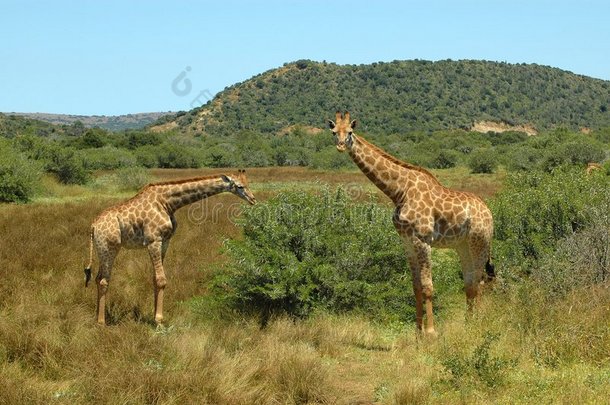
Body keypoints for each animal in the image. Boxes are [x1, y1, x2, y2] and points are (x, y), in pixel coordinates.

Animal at [83, 170, 254, 326]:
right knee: (104, 280)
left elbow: (155, 278)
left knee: (98, 278)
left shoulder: (165, 241)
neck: (168, 203)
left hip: (101, 249)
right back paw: (101, 322)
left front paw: (154, 316)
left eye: (248, 183)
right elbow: (161, 280)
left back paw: (97, 316)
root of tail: (93, 226)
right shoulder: (153, 241)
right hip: (109, 247)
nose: (253, 199)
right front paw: (159, 321)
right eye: (239, 186)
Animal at [326, 111, 492, 334]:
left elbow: (428, 286)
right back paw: (468, 325)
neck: (399, 192)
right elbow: (416, 287)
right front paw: (417, 332)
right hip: (462, 246)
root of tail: (489, 212)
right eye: (334, 131)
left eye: (350, 131)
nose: (341, 145)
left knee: (480, 281)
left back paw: (478, 326)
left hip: (480, 242)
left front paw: (431, 332)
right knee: (470, 283)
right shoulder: (406, 241)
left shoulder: (423, 240)